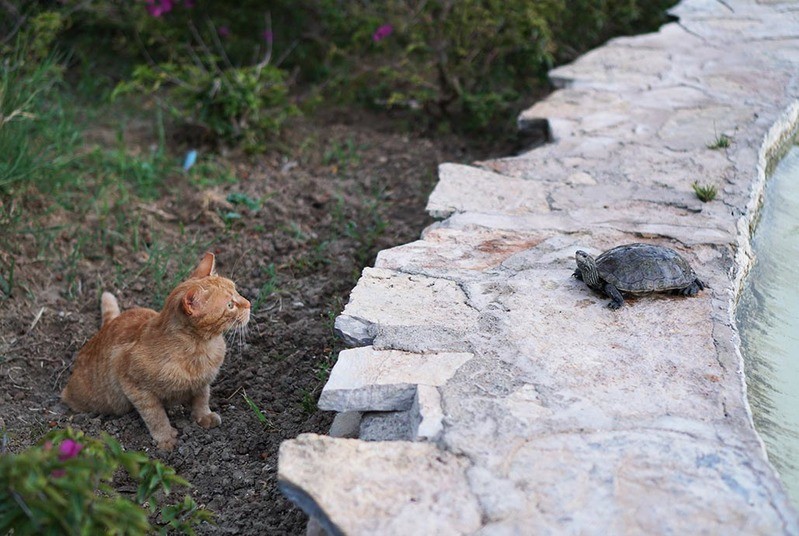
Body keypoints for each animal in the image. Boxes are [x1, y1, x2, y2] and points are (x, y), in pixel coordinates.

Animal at [61, 253, 250, 450]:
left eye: (237, 290)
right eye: (230, 305)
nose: (249, 303)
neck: (200, 348)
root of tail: (107, 326)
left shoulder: (203, 382)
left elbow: (202, 398)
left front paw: (203, 416)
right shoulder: (134, 386)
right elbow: (155, 415)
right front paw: (166, 438)